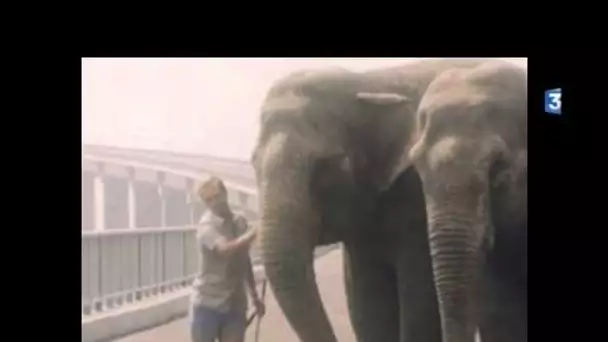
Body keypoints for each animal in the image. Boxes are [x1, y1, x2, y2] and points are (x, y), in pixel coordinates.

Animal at [252, 59, 528, 342]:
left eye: (325, 166)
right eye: (253, 163)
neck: (367, 83)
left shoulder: (414, 205)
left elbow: (418, 304)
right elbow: (367, 308)